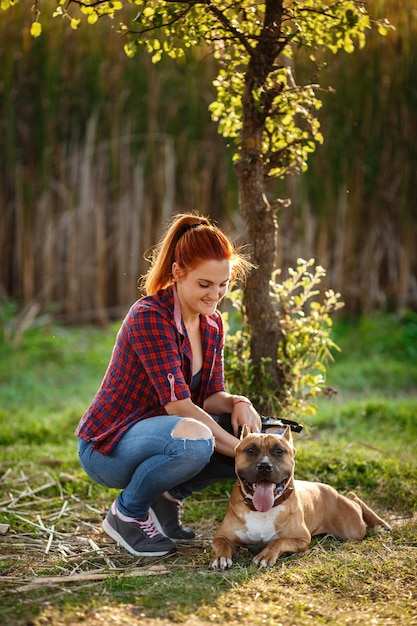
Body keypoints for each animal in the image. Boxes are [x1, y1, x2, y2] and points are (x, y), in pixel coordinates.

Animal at [211, 424, 390, 564]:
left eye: (279, 451)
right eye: (250, 450)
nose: (264, 466)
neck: (263, 512)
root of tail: (329, 488)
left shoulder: (301, 539)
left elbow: (278, 542)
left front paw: (265, 556)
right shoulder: (221, 536)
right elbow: (222, 544)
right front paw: (221, 558)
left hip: (352, 529)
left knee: (354, 498)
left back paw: (380, 525)